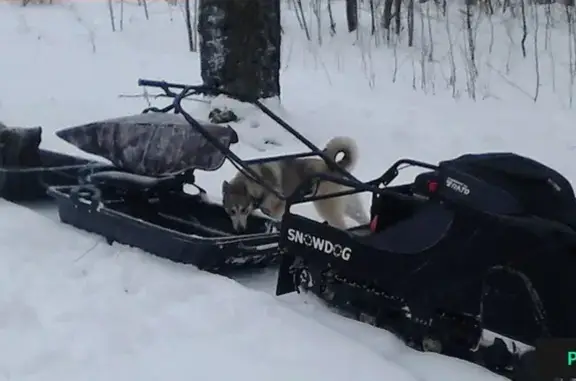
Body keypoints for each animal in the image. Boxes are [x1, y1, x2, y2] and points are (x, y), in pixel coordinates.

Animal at [218, 137, 372, 232]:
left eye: (243, 210)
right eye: (232, 211)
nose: (240, 230)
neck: (256, 183)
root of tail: (334, 167)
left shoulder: (277, 208)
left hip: (326, 206)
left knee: (341, 224)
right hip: (349, 203)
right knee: (363, 217)